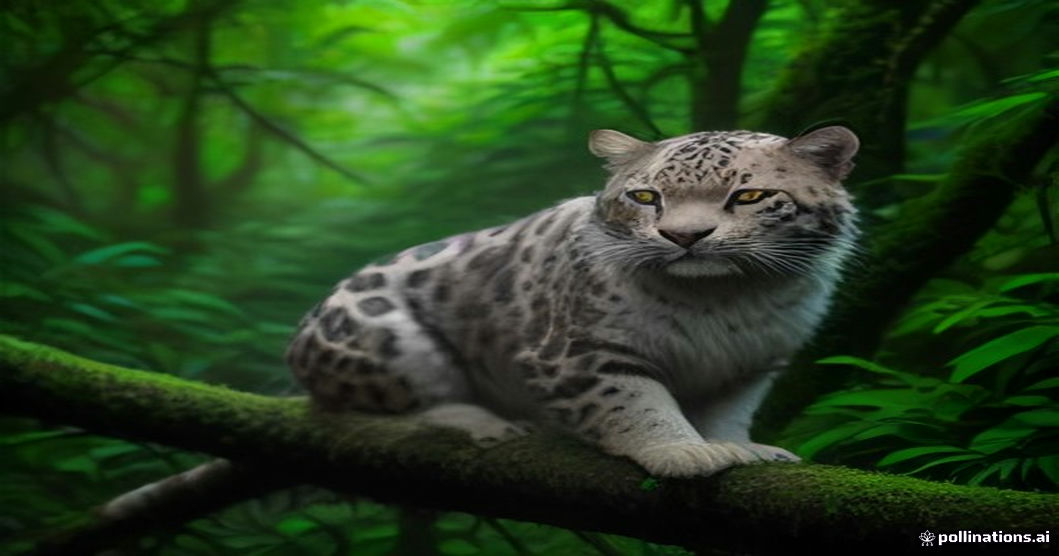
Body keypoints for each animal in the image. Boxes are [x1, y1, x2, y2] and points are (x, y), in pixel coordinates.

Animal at [284, 125, 860, 478]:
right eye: (645, 196)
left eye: (750, 196)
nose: (684, 236)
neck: (725, 300)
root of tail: (298, 343)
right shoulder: (583, 353)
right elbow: (636, 405)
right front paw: (683, 451)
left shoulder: (753, 362)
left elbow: (728, 412)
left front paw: (742, 447)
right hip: (388, 340)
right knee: (403, 404)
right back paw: (491, 424)